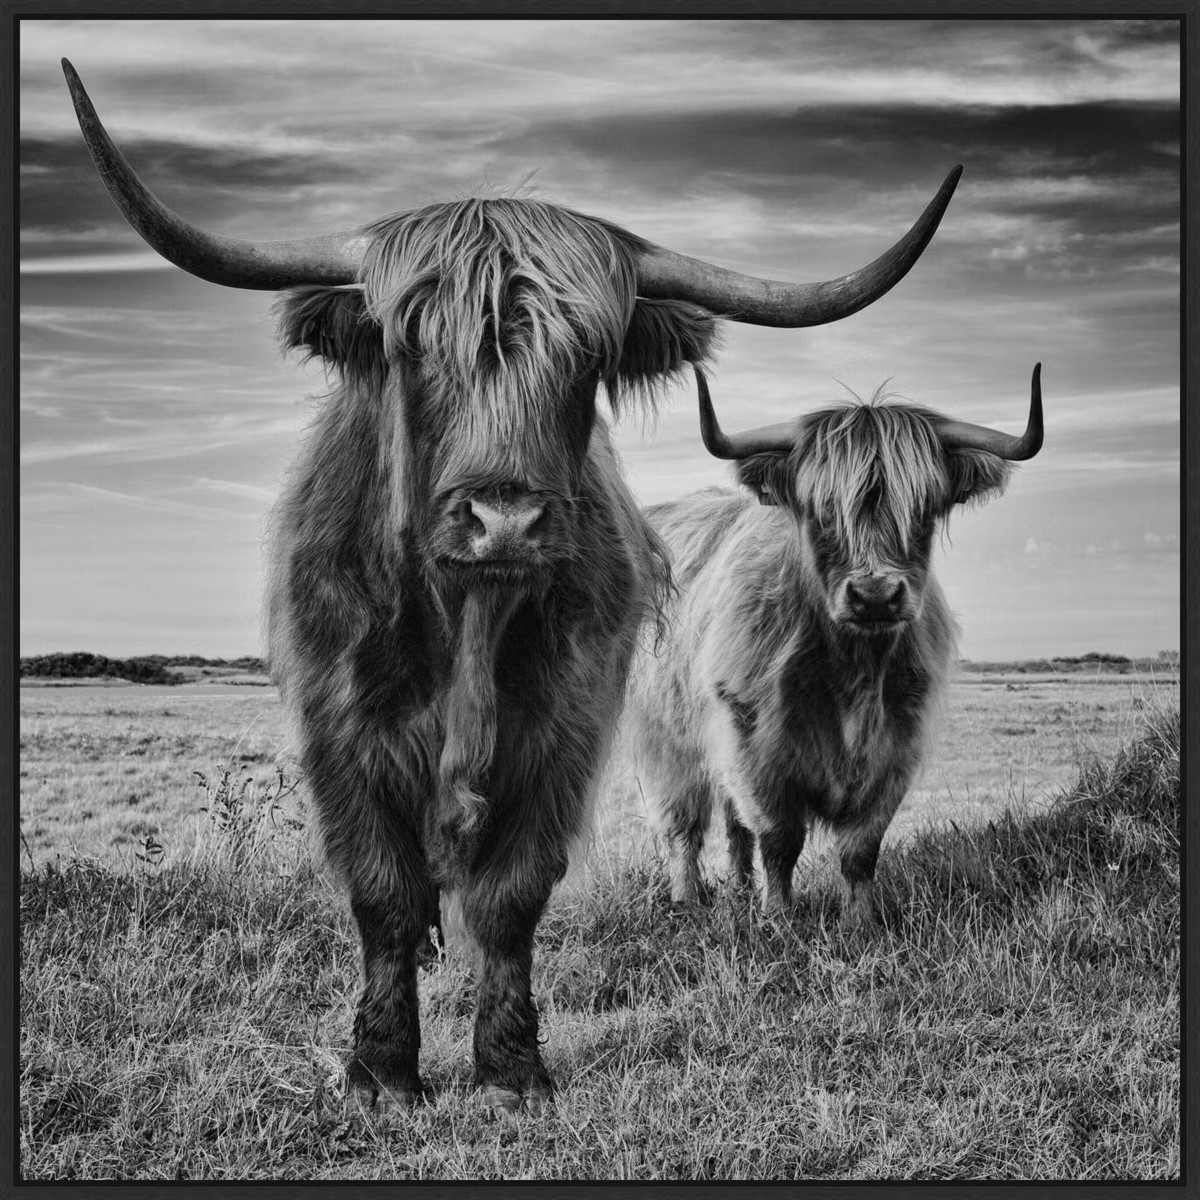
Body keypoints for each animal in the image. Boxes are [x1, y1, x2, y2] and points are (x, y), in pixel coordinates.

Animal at [63, 58, 963, 1112]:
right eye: (414, 346)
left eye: (587, 358)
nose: (503, 520)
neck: (467, 623)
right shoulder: (340, 734)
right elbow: (384, 893)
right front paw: (381, 1072)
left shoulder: (565, 730)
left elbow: (512, 894)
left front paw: (510, 1068)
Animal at [624, 365, 1043, 930]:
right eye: (821, 511)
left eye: (924, 509)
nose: (875, 596)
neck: (853, 672)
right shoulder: (754, 745)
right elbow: (779, 838)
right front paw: (779, 919)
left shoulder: (896, 748)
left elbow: (860, 848)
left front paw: (860, 921)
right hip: (667, 739)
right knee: (683, 824)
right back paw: (688, 898)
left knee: (733, 826)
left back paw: (739, 890)